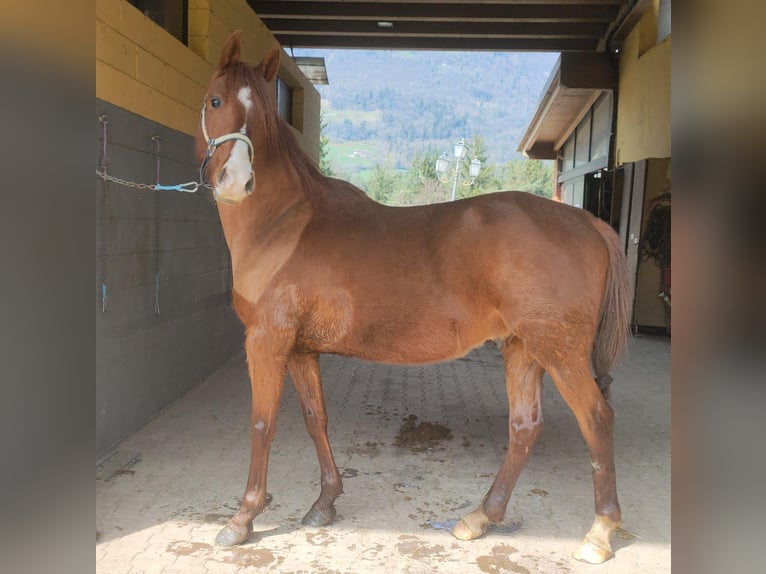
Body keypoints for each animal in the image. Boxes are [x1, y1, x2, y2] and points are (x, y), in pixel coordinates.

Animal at [195, 29, 632, 564]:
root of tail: (587, 222)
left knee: (597, 420)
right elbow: (316, 419)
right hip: (523, 349)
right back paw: (479, 518)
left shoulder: (266, 342)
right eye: (216, 101)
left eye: (260, 112)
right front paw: (325, 503)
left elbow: (262, 424)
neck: (284, 224)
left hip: (561, 353)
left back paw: (599, 533)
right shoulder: (300, 350)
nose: (237, 182)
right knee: (524, 427)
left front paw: (242, 519)